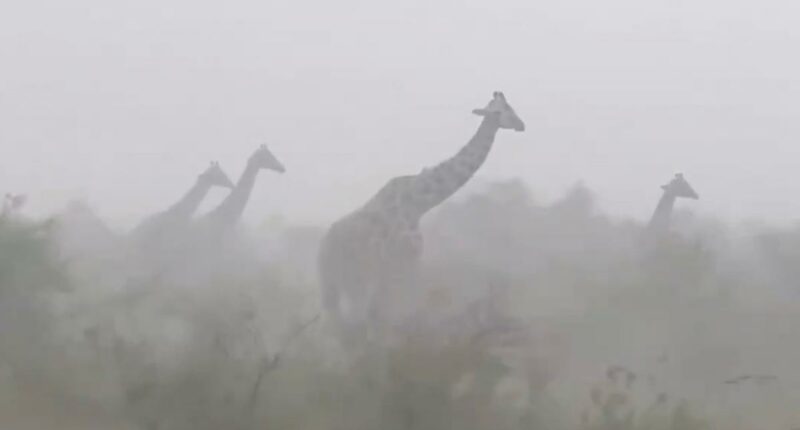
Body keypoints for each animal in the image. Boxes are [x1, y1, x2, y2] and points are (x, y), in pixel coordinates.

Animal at [318, 91, 525, 344]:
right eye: (501, 111)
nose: (522, 125)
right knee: (340, 324)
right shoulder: (401, 262)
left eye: (510, 106)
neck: (418, 203)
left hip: (345, 283)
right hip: (340, 280)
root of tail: (322, 247)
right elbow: (391, 315)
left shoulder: (403, 265)